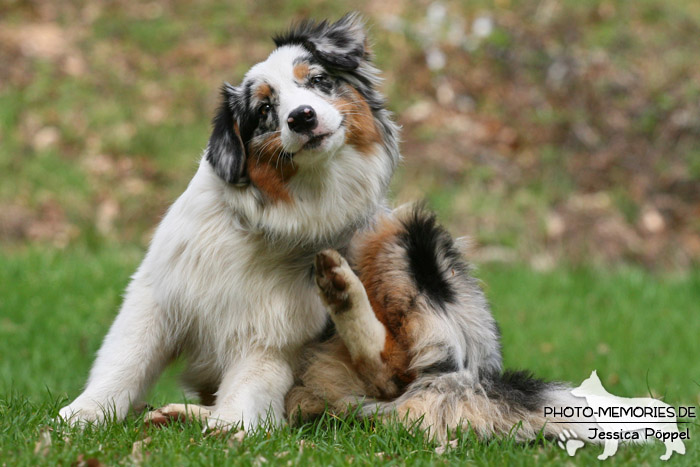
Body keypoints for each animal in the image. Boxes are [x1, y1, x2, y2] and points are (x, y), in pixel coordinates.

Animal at [58, 13, 400, 432]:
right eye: (265, 108)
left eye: (319, 79)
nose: (302, 117)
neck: (262, 226)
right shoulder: (159, 291)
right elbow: (126, 358)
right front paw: (83, 413)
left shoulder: (275, 333)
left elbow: (248, 387)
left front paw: (229, 430)